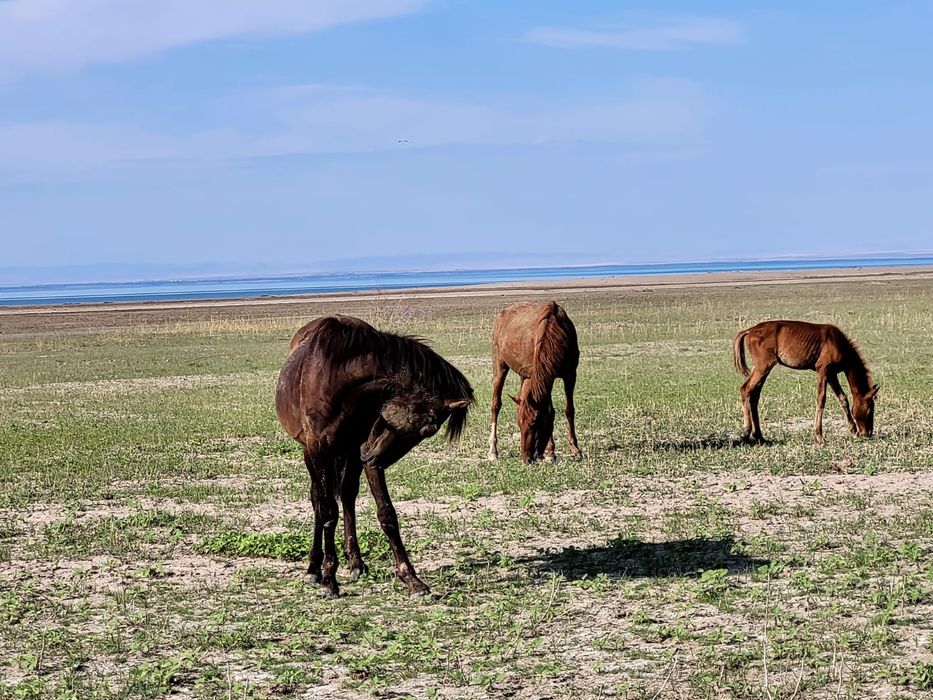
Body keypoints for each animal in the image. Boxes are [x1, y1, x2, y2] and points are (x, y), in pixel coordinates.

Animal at [275, 315, 473, 599]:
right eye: (429, 428)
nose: (371, 455)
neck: (338, 382)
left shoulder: (361, 450)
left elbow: (386, 514)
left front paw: (411, 579)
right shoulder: (319, 449)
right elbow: (327, 511)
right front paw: (328, 578)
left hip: (347, 454)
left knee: (347, 496)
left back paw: (355, 562)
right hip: (313, 454)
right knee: (318, 500)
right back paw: (313, 568)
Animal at [487, 301, 582, 463]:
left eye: (534, 422)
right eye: (519, 423)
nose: (526, 458)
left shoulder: (570, 374)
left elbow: (569, 410)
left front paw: (575, 449)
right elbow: (550, 411)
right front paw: (551, 452)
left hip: (524, 376)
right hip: (500, 365)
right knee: (496, 405)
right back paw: (493, 451)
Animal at [732, 320, 878, 444]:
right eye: (870, 409)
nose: (867, 433)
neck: (838, 343)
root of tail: (749, 330)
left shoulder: (831, 374)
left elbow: (843, 398)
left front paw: (853, 429)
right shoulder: (823, 370)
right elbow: (821, 399)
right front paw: (820, 436)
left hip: (762, 369)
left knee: (754, 396)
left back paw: (759, 436)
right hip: (763, 367)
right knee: (745, 389)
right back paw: (746, 433)